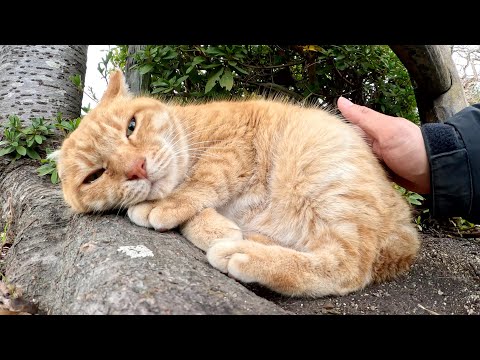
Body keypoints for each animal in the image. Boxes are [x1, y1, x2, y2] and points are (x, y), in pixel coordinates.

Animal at [53, 71, 420, 298]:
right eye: (94, 176)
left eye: (131, 126)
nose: (137, 168)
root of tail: (406, 233)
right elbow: (200, 209)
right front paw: (215, 227)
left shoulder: (238, 139)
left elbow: (204, 179)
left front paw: (166, 206)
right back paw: (250, 239)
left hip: (324, 178)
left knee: (347, 266)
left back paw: (244, 252)